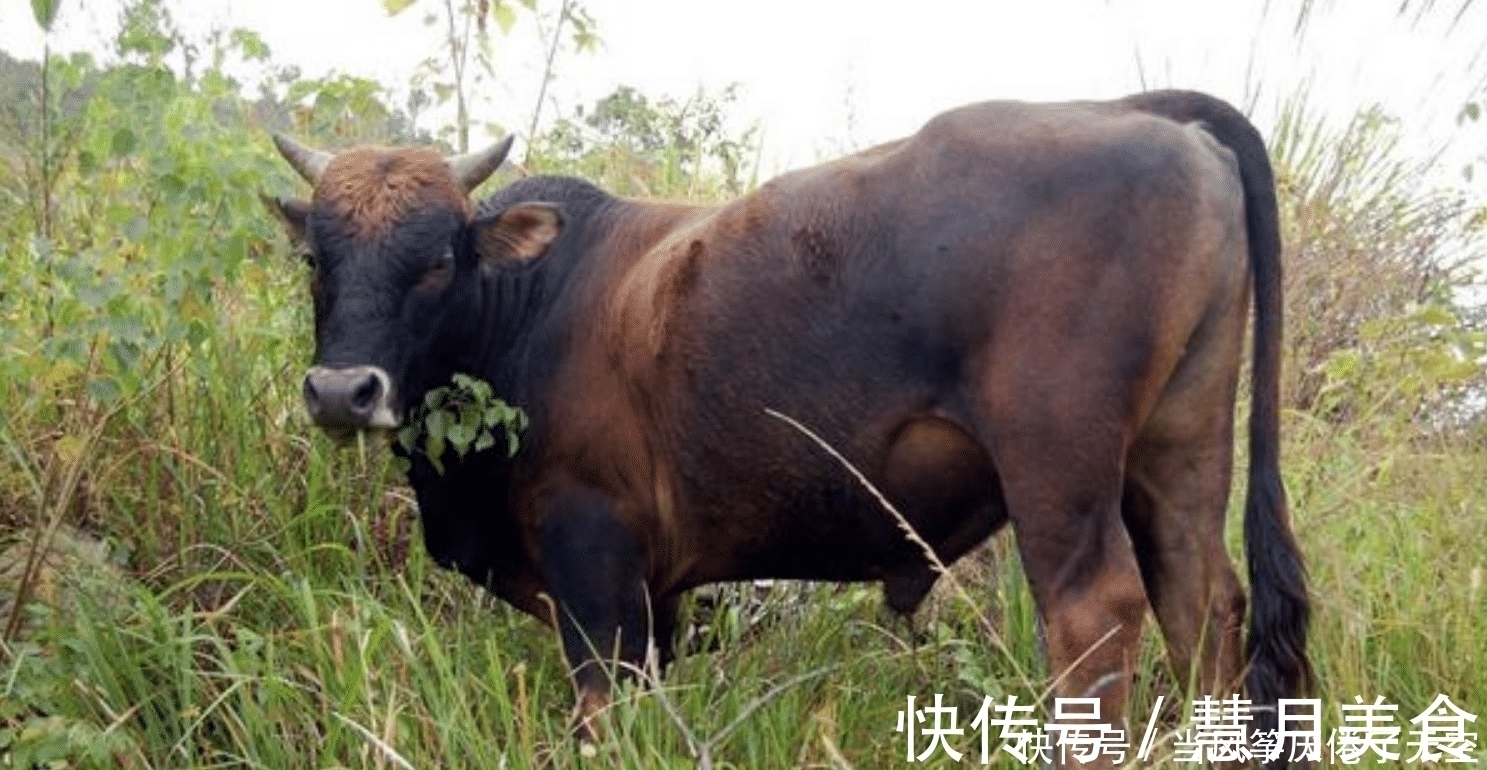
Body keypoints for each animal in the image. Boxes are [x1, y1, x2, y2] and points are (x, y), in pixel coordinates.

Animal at [267, 89, 1314, 761]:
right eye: (317, 258)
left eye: (441, 257)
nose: (342, 390)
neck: (530, 306)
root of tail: (1137, 111)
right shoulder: (657, 590)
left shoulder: (590, 557)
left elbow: (601, 707)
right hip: (1177, 450)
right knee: (1201, 601)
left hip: (1058, 467)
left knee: (1094, 616)